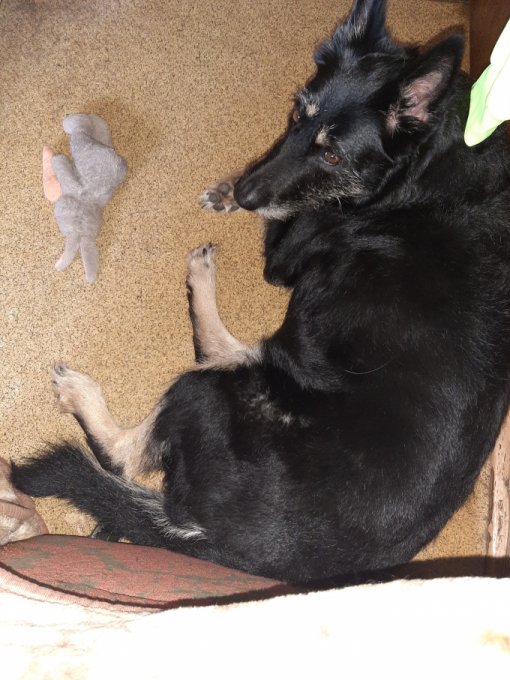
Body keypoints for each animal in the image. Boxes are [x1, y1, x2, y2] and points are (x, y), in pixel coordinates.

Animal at [11, 0, 510, 583]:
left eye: (333, 156)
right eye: (296, 116)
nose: (246, 193)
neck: (433, 161)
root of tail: (224, 543)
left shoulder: (288, 254)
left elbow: (288, 212)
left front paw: (245, 200)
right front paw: (233, 190)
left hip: (210, 390)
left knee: (132, 447)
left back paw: (95, 382)